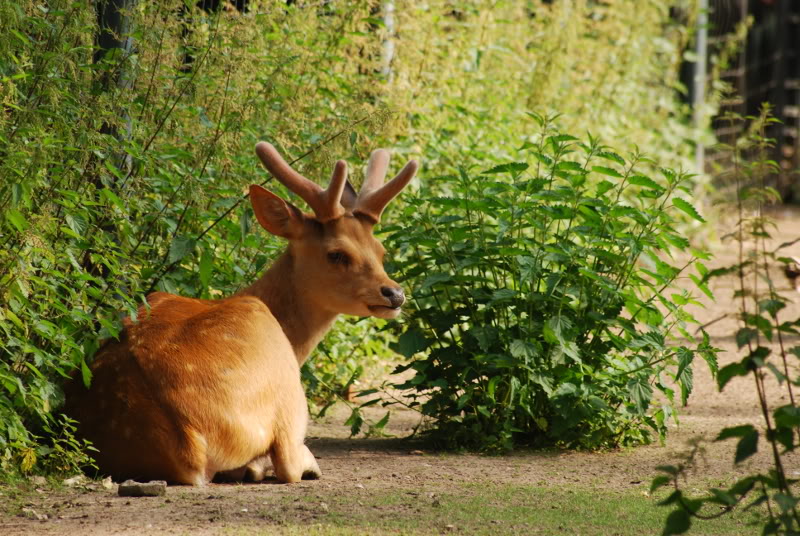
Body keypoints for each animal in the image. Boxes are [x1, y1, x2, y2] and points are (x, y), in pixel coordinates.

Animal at [64, 142, 418, 485]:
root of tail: (188, 446)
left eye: (381, 251)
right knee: (289, 461)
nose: (395, 294)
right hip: (283, 385)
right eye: (336, 254)